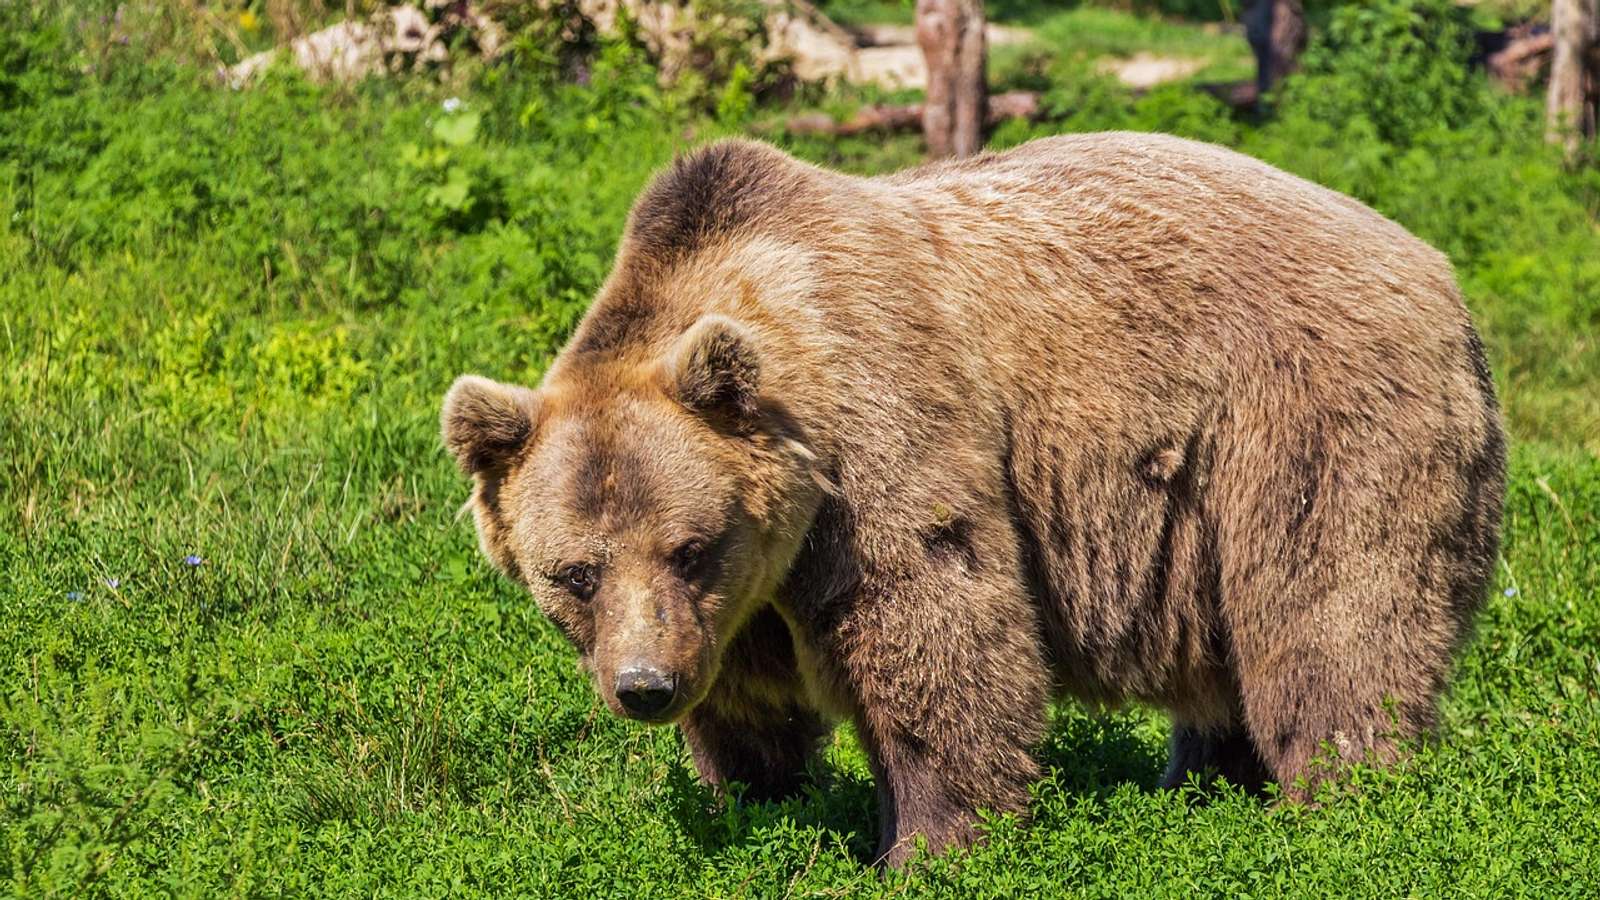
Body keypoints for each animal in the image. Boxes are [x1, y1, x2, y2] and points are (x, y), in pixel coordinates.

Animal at [441, 133, 1506, 866]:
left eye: (689, 545)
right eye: (574, 573)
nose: (644, 687)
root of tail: (1441, 272)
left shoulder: (878, 442)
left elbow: (935, 629)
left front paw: (927, 845)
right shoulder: (739, 600)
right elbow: (748, 703)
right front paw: (760, 801)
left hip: (1307, 424)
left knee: (1331, 618)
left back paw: (1341, 800)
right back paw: (1202, 786)